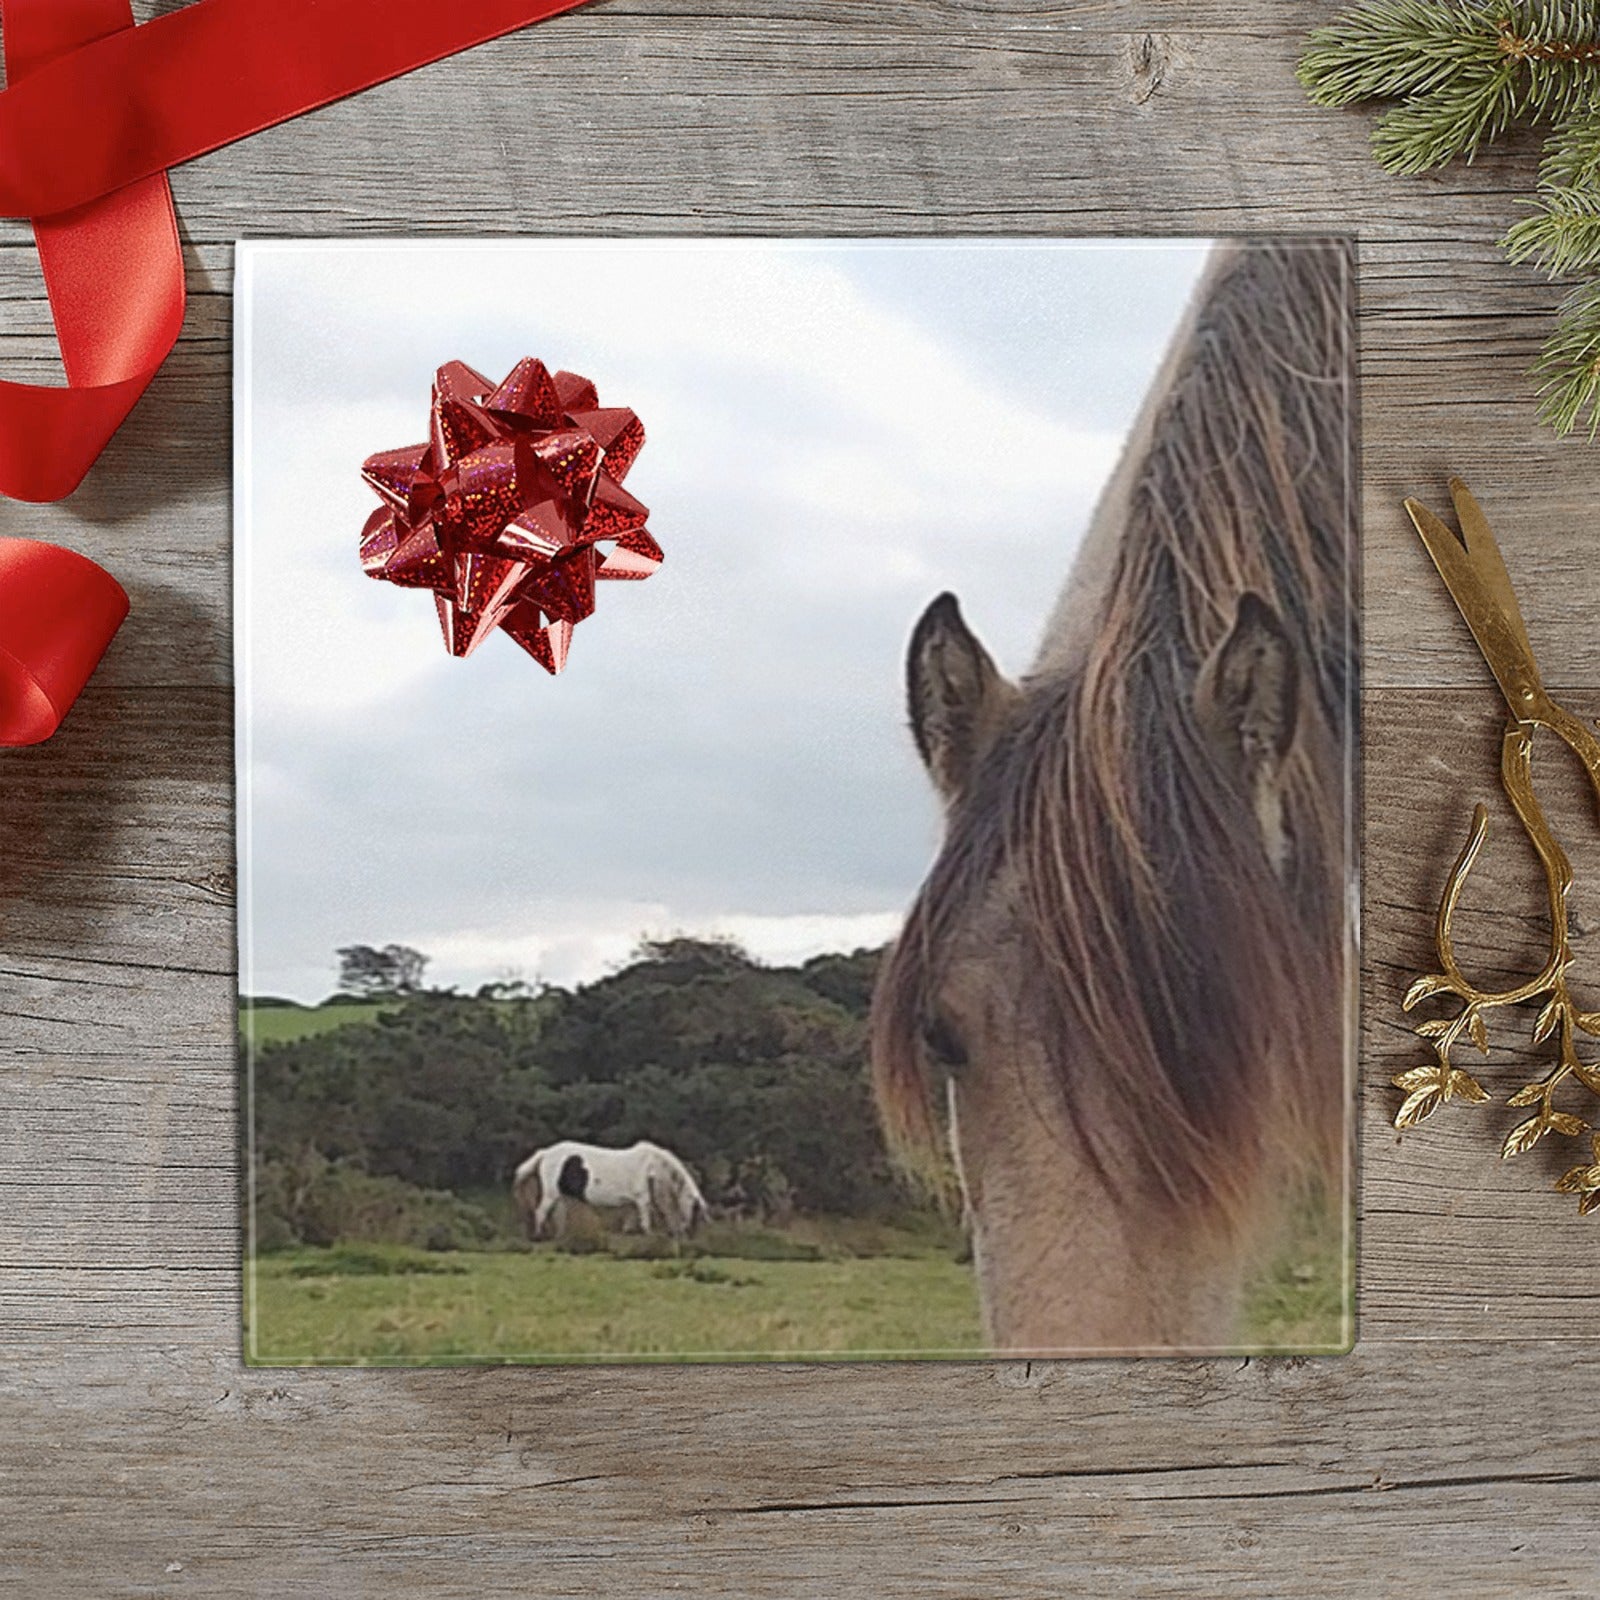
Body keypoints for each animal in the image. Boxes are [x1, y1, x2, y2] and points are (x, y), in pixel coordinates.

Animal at [512, 1140, 709, 1241]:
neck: (651, 1166)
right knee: (540, 1212)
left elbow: (630, 1223)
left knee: (558, 1217)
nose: (691, 1236)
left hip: (561, 1196)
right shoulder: (642, 1199)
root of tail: (545, 1153)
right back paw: (539, 1235)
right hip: (551, 1193)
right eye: (696, 1211)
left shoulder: (633, 1203)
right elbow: (645, 1223)